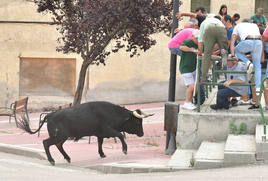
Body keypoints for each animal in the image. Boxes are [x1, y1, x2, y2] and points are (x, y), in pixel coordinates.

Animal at [17, 101, 153, 165]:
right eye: (137, 122)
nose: (142, 133)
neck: (113, 113)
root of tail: (50, 115)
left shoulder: (100, 133)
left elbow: (100, 143)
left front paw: (102, 154)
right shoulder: (108, 130)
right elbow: (120, 135)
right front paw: (124, 150)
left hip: (62, 137)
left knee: (58, 145)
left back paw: (67, 158)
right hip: (59, 135)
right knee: (46, 143)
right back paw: (52, 160)